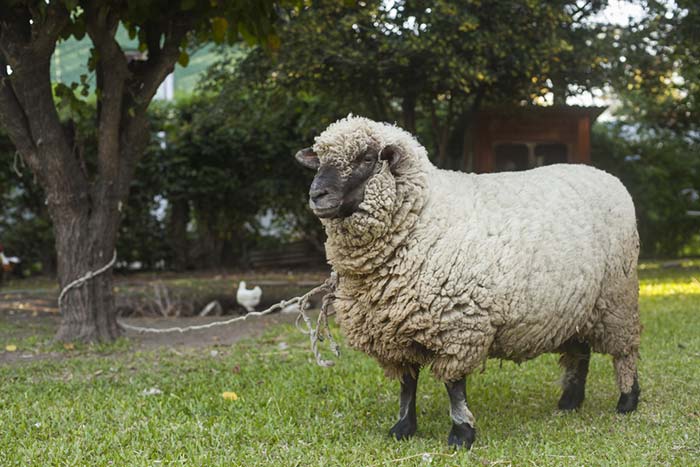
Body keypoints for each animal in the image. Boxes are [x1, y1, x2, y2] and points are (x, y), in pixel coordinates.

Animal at [292, 116, 644, 450]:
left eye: (366, 158)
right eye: (319, 160)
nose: (317, 195)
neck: (422, 215)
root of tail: (605, 175)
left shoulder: (459, 324)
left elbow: (454, 385)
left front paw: (462, 433)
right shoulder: (395, 330)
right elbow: (407, 384)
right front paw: (403, 428)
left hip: (617, 297)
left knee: (624, 352)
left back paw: (627, 400)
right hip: (576, 304)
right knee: (580, 352)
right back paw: (570, 402)